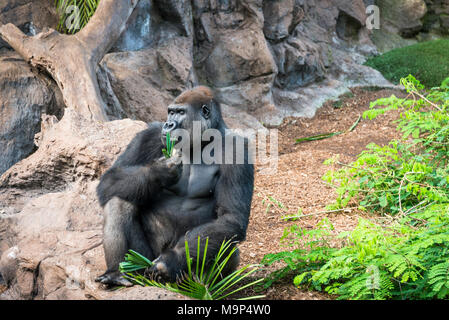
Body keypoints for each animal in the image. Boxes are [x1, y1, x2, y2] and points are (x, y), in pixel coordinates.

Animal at [95, 85, 252, 284]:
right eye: (170, 112)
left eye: (180, 112)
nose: (168, 124)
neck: (204, 142)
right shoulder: (150, 135)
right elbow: (109, 179)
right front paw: (158, 172)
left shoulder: (238, 150)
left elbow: (231, 218)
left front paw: (170, 261)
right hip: (142, 263)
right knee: (119, 200)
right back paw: (117, 273)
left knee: (227, 243)